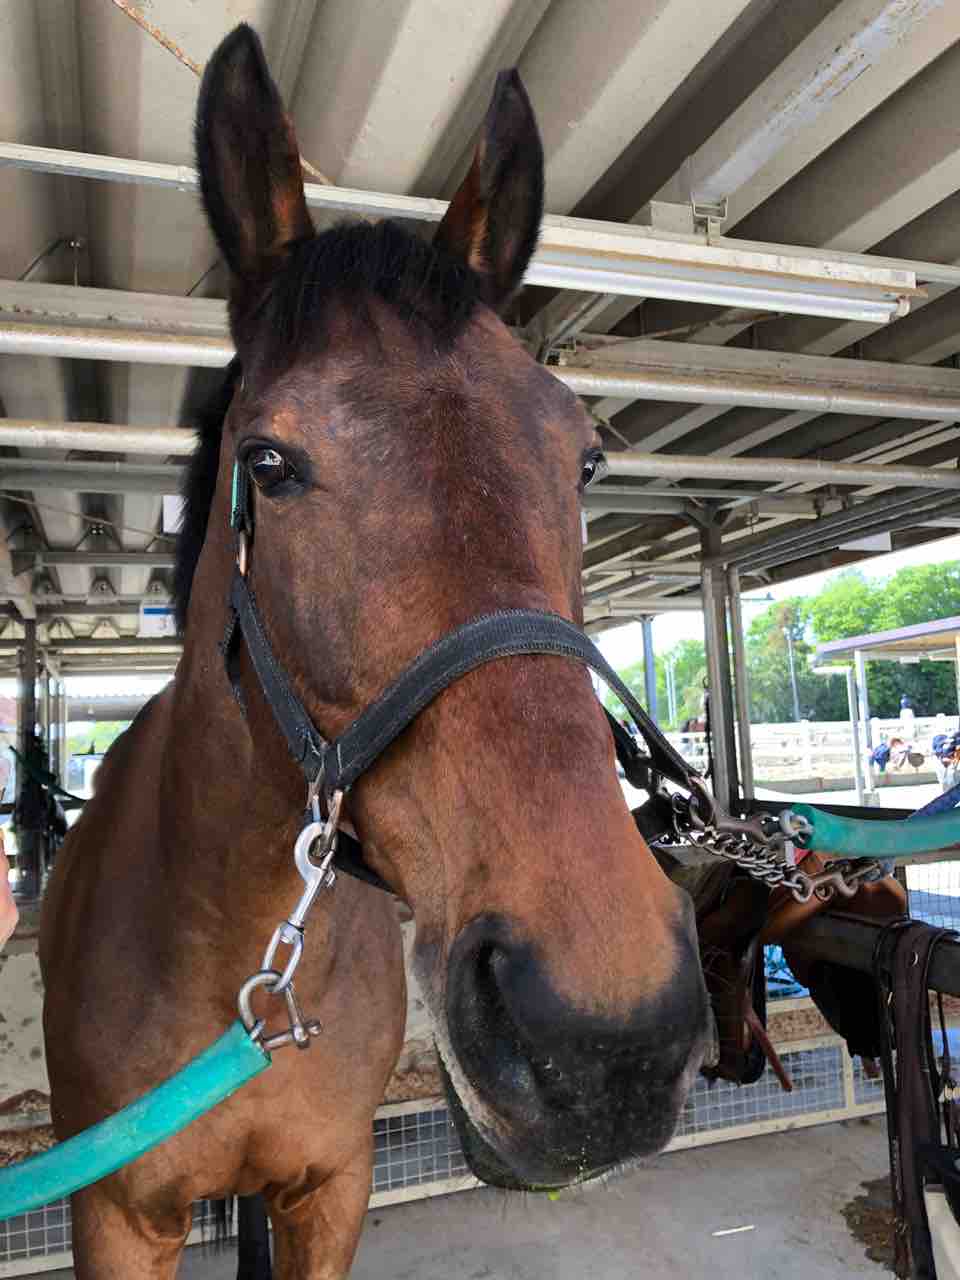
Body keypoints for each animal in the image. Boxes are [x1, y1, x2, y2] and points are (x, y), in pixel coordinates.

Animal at [40, 24, 709, 1279]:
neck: (243, 965)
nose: (606, 1037)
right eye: (269, 462)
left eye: (585, 458)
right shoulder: (113, 1215)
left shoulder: (332, 1187)